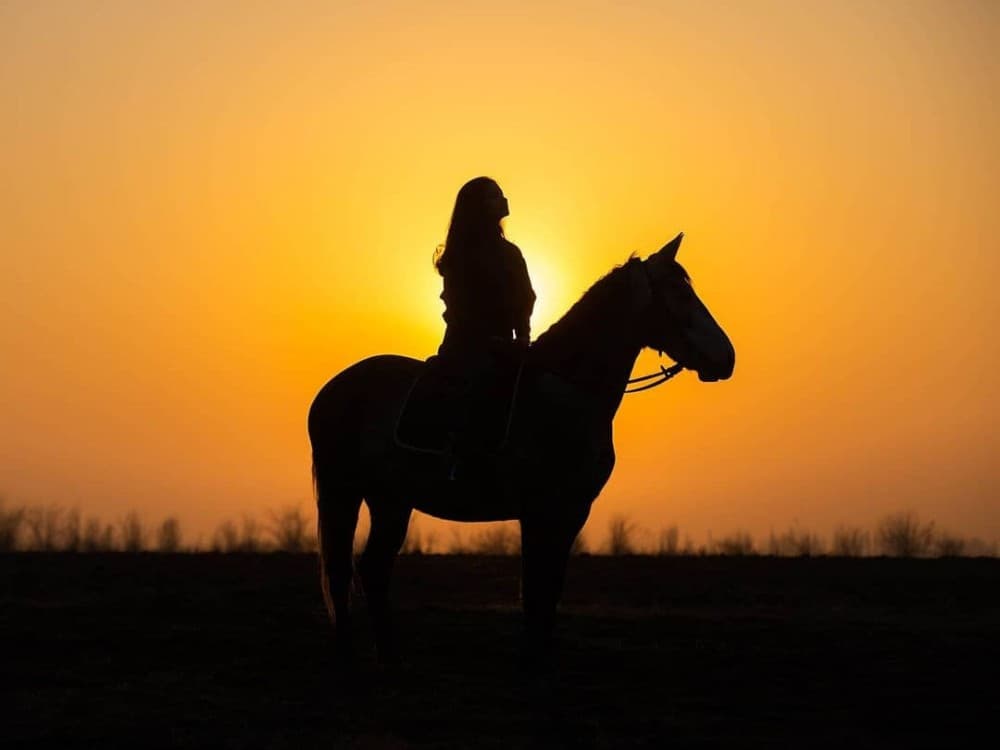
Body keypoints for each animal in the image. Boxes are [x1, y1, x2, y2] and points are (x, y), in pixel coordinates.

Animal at [307, 232, 735, 667]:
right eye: (680, 293)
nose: (727, 358)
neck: (567, 391)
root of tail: (333, 388)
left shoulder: (572, 510)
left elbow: (550, 590)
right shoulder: (538, 509)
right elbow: (534, 590)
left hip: (391, 499)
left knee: (374, 568)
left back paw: (389, 657)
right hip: (343, 491)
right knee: (341, 573)